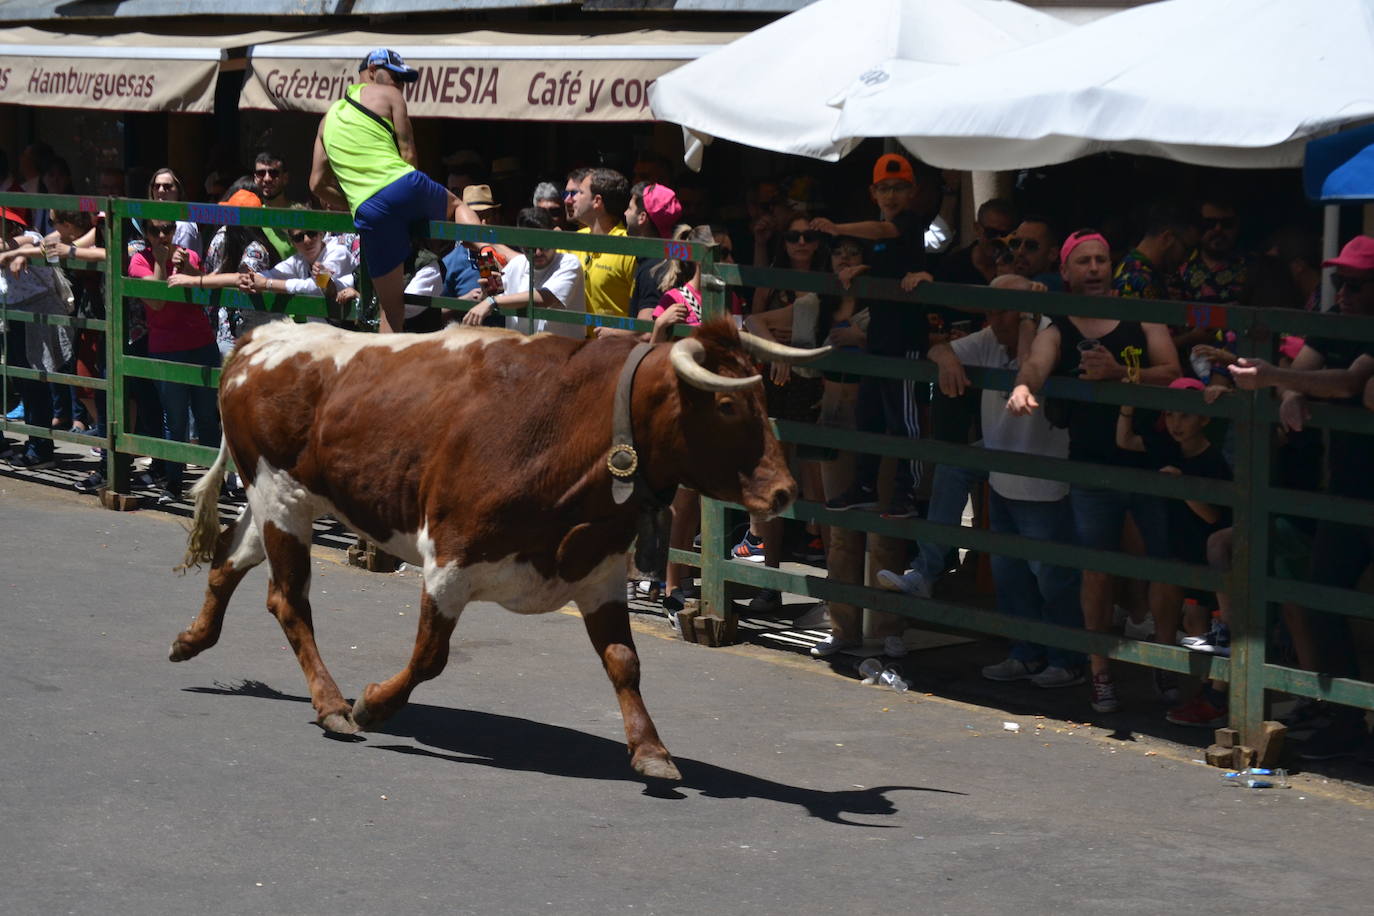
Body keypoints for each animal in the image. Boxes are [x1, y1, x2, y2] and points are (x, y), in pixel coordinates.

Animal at [167, 317, 818, 780]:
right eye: (729, 405)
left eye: (765, 403)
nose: (785, 491)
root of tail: (261, 337)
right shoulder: (449, 561)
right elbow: (430, 656)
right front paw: (373, 704)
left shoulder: (600, 573)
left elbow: (623, 662)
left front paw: (650, 749)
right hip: (281, 497)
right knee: (288, 600)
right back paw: (331, 705)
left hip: (280, 503)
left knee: (227, 556)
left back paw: (191, 639)